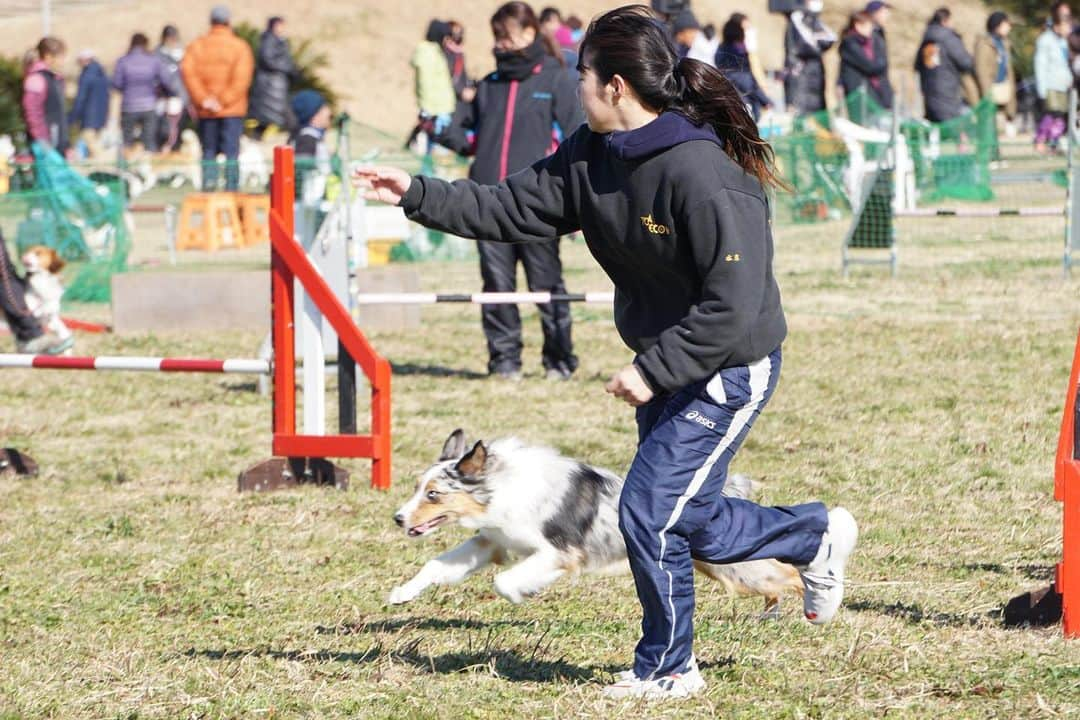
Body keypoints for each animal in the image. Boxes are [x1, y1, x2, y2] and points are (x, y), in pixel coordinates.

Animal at [390, 431, 803, 617]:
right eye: (417, 488)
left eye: (433, 494)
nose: (398, 519)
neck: (503, 486)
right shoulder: (492, 542)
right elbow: (438, 566)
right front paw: (401, 593)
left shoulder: (558, 552)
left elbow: (504, 582)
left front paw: (526, 592)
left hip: (739, 568)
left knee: (791, 574)